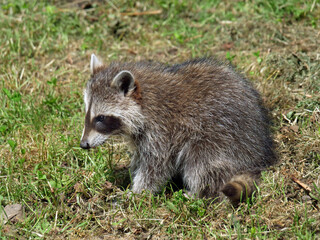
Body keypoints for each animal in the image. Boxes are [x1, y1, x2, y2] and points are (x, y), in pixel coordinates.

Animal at [80, 54, 278, 202]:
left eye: (101, 118)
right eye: (87, 114)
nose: (83, 145)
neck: (144, 101)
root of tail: (257, 158)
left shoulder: (163, 129)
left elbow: (156, 166)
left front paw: (137, 192)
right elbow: (140, 157)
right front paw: (130, 175)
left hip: (223, 139)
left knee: (200, 163)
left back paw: (199, 193)